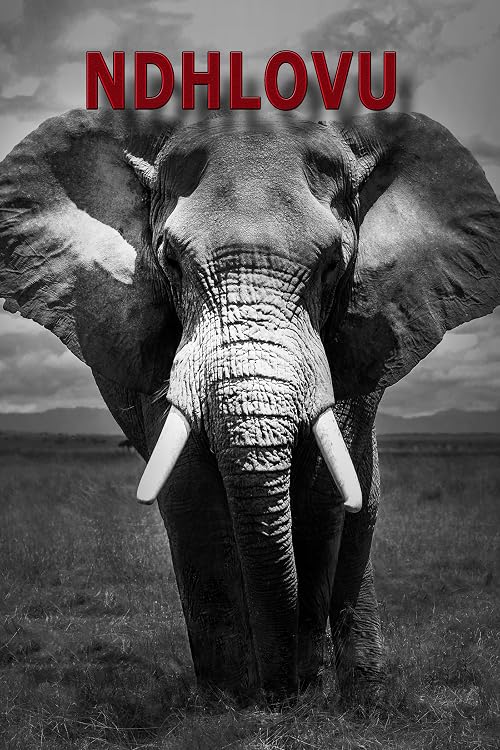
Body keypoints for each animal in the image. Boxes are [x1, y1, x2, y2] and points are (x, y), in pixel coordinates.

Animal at [1, 108, 499, 699]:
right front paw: (233, 700)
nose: (279, 691)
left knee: (360, 513)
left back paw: (365, 696)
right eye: (170, 263)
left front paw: (304, 692)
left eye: (334, 266)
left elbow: (321, 499)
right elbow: (191, 493)